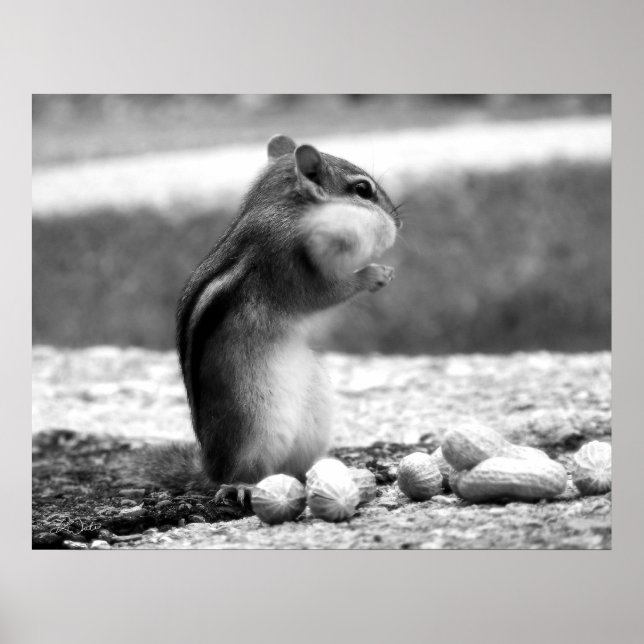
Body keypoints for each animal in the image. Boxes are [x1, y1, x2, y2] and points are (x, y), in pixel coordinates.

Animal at [143, 134, 400, 504]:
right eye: (363, 190)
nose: (398, 222)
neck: (287, 208)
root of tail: (209, 467)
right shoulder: (287, 263)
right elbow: (325, 293)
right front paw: (374, 274)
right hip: (254, 427)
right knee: (238, 473)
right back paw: (239, 486)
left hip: (315, 415)